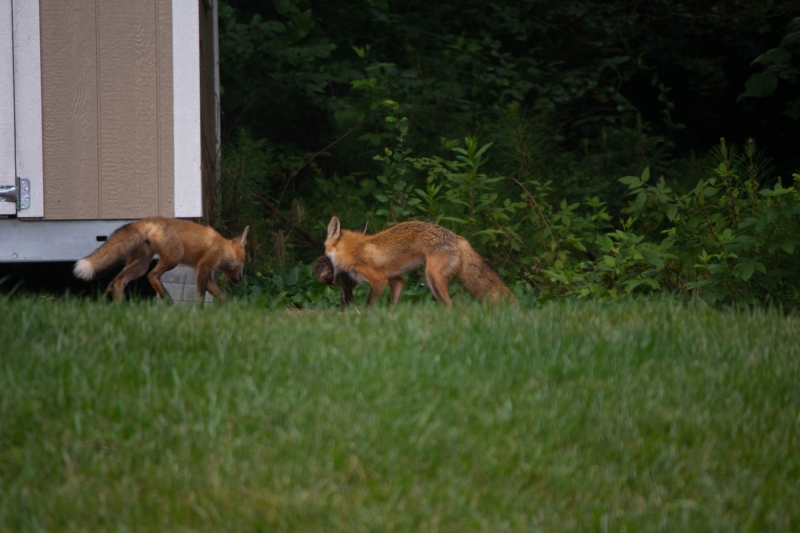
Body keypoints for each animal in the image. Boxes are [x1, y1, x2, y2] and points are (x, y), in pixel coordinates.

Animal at [73, 216, 249, 303]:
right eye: (243, 263)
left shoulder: (203, 272)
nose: (241, 279)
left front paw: (235, 309)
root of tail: (147, 220)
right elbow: (200, 297)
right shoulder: (204, 267)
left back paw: (119, 307)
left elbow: (222, 296)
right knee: (152, 275)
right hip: (173, 258)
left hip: (140, 264)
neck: (222, 248)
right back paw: (168, 300)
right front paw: (198, 313)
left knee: (118, 281)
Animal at [324, 216, 515, 306]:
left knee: (453, 307)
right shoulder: (396, 280)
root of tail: (458, 238)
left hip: (433, 277)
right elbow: (392, 304)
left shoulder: (379, 280)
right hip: (433, 283)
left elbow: (369, 304)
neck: (354, 248)